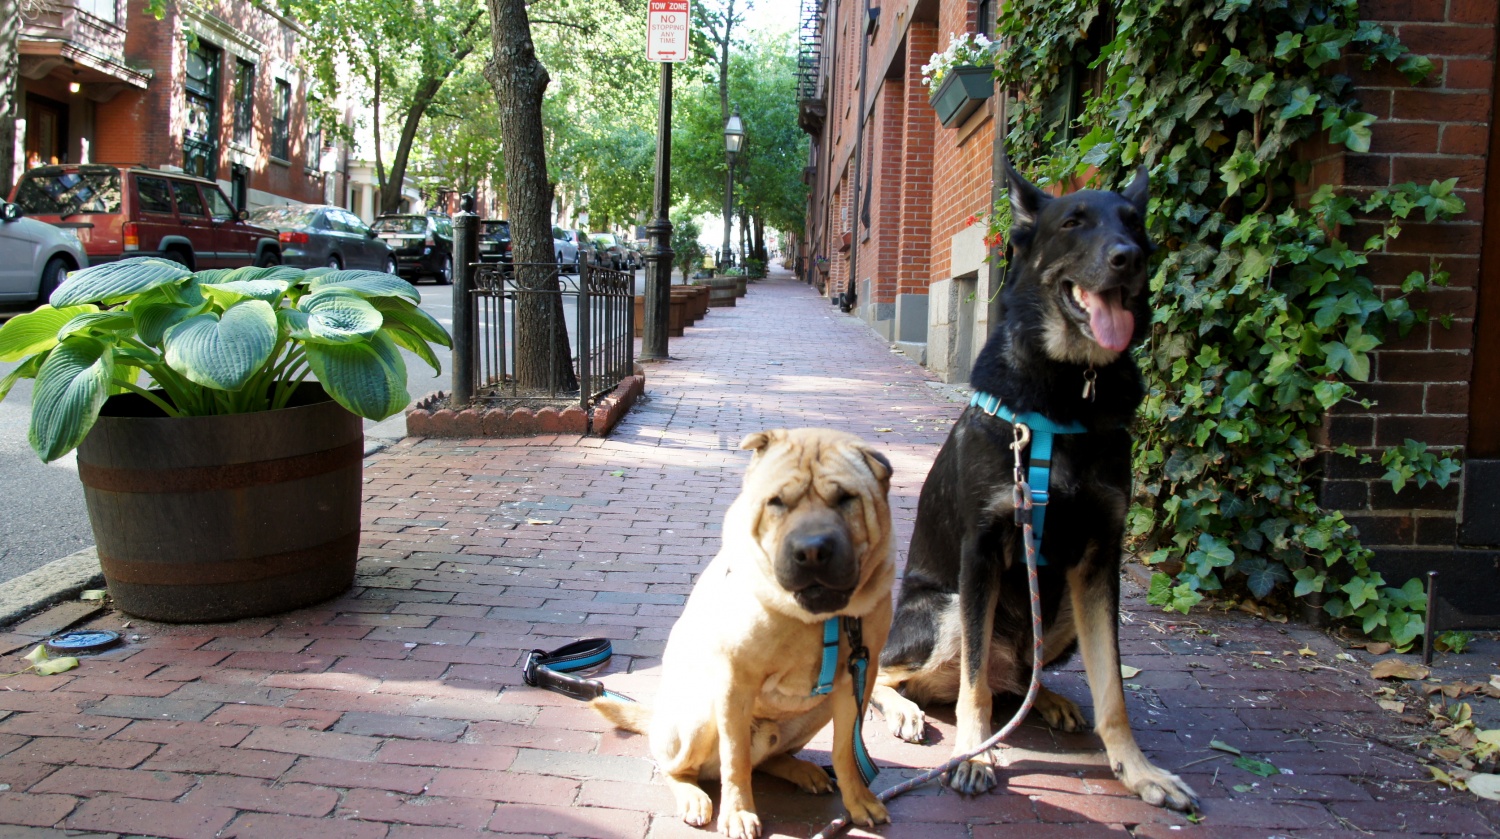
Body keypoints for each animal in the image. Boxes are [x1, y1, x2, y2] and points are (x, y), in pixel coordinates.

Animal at [591, 429, 894, 834]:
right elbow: (734, 760)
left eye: (846, 499)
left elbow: (845, 749)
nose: (812, 551)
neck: (816, 619)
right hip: (700, 715)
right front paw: (737, 813)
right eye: (776, 502)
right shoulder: (736, 681)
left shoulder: (857, 677)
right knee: (676, 766)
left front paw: (859, 801)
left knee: (767, 759)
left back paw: (803, 770)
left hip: (818, 710)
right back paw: (692, 795)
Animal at [870, 157, 1194, 816]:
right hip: (946, 608)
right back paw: (908, 711)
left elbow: (1113, 686)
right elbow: (971, 690)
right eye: (1072, 222)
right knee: (907, 679)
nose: (1129, 257)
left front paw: (1138, 770)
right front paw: (972, 756)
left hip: (1061, 609)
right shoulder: (981, 553)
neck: (1068, 389)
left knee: (1022, 678)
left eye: (1134, 223)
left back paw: (1048, 700)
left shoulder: (1099, 561)